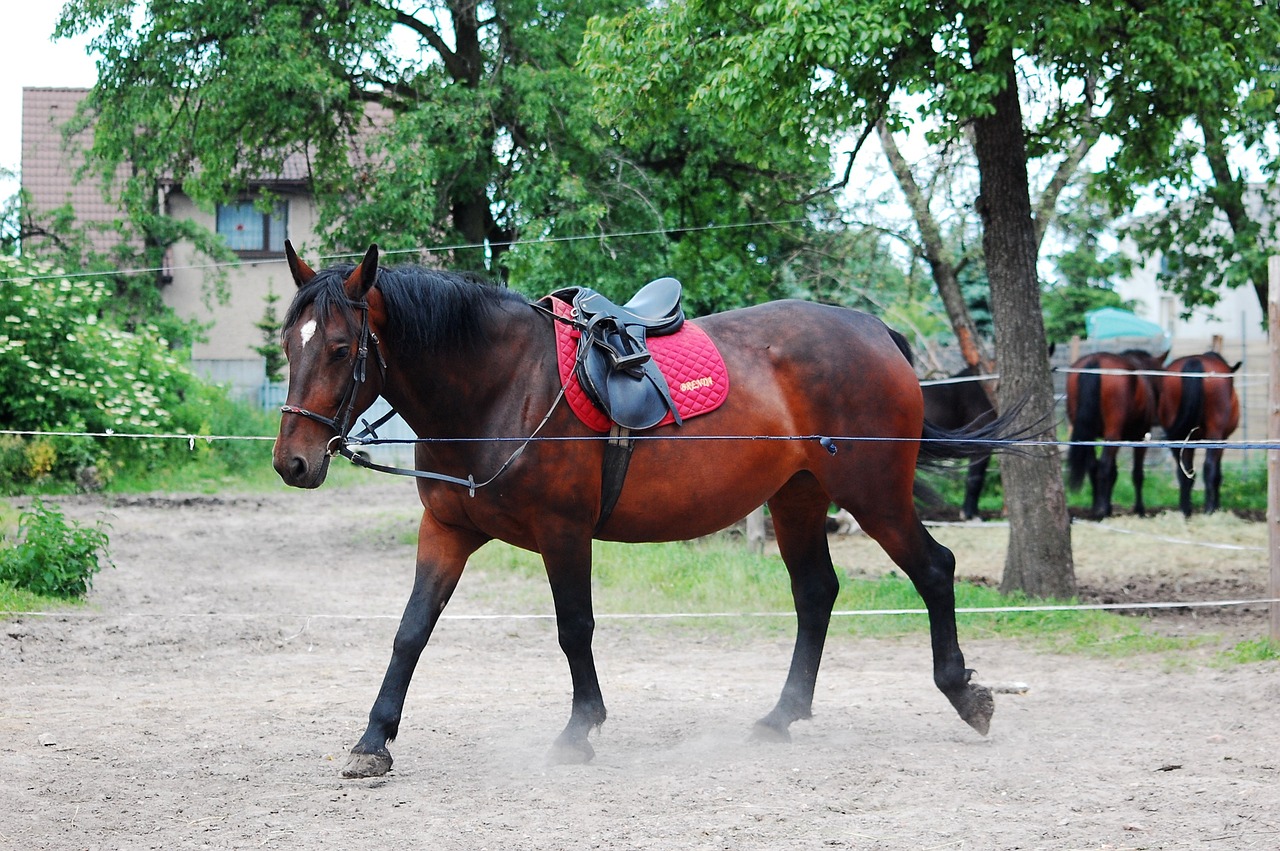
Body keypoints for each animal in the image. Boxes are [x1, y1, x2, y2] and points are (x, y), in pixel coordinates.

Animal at [277, 240, 1018, 778]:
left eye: (341, 349)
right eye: (289, 344)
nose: (293, 462)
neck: (501, 386)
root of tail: (874, 330)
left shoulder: (564, 533)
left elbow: (574, 628)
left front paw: (580, 729)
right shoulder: (447, 531)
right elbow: (411, 631)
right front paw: (373, 740)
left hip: (873, 494)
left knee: (934, 569)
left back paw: (965, 694)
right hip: (799, 497)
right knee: (816, 593)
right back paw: (782, 715)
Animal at [1064, 348, 1167, 516]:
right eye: (1162, 378)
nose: (1158, 419)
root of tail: (1095, 361)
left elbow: (1113, 472)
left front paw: (1108, 505)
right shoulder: (1140, 438)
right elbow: (1137, 474)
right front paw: (1139, 509)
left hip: (1089, 435)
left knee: (1093, 466)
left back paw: (1097, 507)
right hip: (1114, 435)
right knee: (1103, 466)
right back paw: (1100, 509)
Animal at [1152, 350, 1239, 511]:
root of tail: (1195, 361)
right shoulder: (1222, 439)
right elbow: (1217, 473)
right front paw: (1215, 505)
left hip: (1178, 435)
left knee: (1183, 471)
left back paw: (1186, 510)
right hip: (1214, 433)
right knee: (1209, 467)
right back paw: (1208, 510)